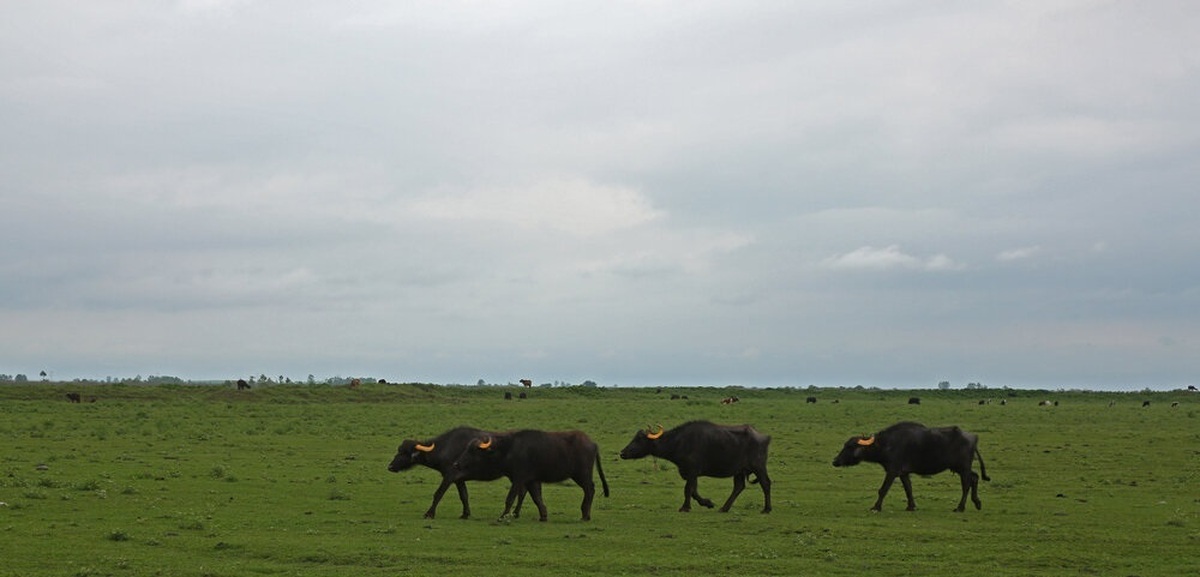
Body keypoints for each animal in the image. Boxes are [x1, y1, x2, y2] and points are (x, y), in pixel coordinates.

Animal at [386, 424, 532, 520]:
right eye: (399, 450)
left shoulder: (449, 476)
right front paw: (465, 514)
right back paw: (516, 513)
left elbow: (438, 494)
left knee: (521, 491)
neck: (446, 447)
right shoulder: (459, 480)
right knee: (523, 491)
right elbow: (464, 496)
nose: (390, 467)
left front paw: (429, 514)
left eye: (405, 453)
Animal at [453, 427, 614, 523]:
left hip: (582, 475)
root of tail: (592, 444)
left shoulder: (518, 478)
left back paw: (585, 514)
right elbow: (537, 497)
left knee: (590, 489)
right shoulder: (532, 480)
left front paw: (502, 516)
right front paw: (543, 515)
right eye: (466, 448)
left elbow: (510, 498)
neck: (509, 449)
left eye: (473, 451)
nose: (456, 464)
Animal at [614, 417, 772, 513]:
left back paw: (766, 509)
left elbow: (688, 490)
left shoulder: (691, 471)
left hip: (758, 467)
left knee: (765, 483)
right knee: (739, 487)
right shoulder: (691, 473)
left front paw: (686, 507)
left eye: (640, 439)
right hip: (739, 471)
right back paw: (724, 508)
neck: (678, 442)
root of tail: (764, 437)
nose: (622, 453)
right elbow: (693, 491)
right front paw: (707, 503)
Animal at [835, 417, 993, 513]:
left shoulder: (892, 471)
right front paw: (911, 506)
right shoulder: (903, 473)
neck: (886, 444)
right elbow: (908, 489)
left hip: (963, 468)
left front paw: (876, 507)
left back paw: (960, 507)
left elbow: (883, 489)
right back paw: (977, 502)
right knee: (975, 477)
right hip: (961, 468)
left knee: (966, 484)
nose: (835, 461)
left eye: (849, 446)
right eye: (845, 445)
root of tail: (973, 438)